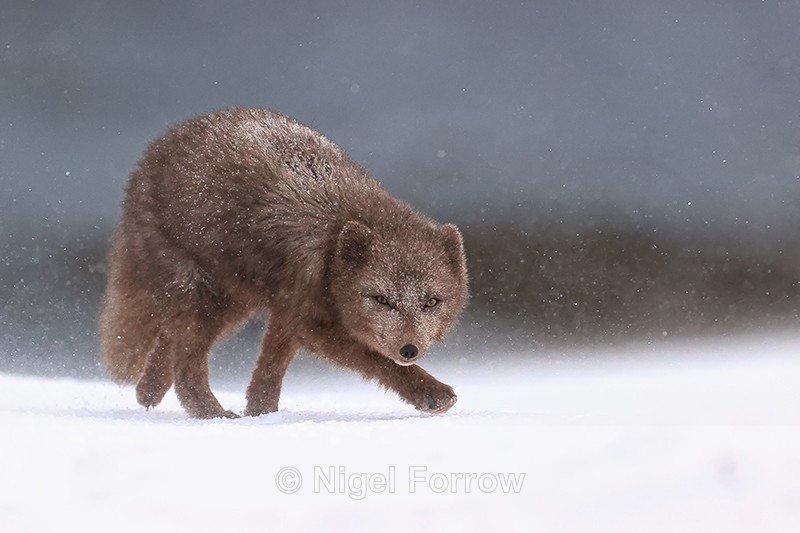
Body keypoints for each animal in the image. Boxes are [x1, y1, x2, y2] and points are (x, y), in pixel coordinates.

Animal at [99, 108, 469, 419]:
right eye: (382, 300)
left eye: (431, 302)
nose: (410, 349)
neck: (333, 244)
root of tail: (155, 150)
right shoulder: (310, 321)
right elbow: (378, 362)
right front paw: (432, 395)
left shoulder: (289, 312)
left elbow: (270, 369)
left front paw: (262, 414)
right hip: (204, 298)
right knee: (186, 367)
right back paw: (213, 416)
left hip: (232, 305)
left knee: (170, 344)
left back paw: (148, 392)